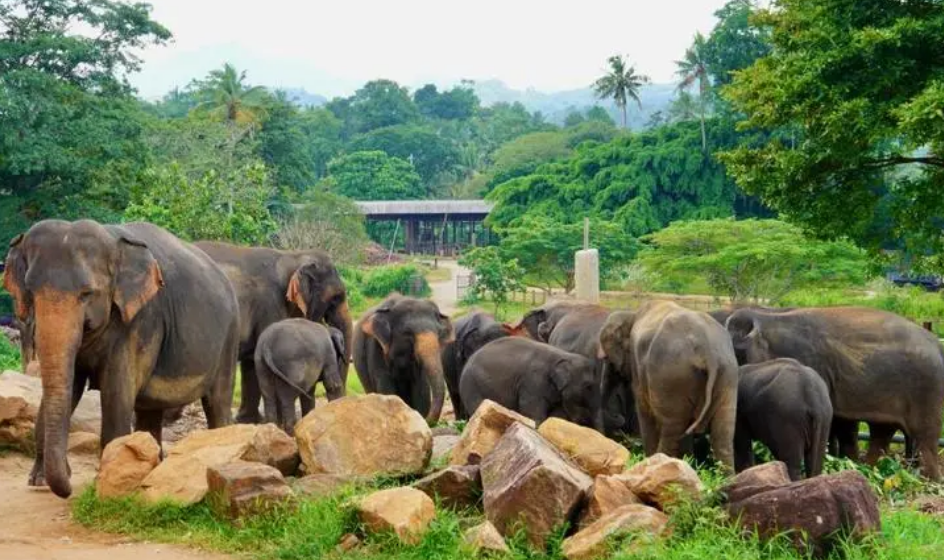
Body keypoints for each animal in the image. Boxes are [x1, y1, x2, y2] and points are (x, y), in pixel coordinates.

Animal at [3, 220, 239, 498]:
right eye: (30, 291)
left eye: (87, 293)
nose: (70, 486)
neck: (112, 238)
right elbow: (70, 387)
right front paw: (38, 482)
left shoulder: (140, 320)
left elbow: (116, 391)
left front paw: (106, 485)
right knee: (150, 411)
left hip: (229, 339)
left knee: (218, 402)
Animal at [459, 337, 599, 426]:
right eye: (588, 386)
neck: (564, 355)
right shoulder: (533, 380)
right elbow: (530, 409)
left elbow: (557, 413)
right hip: (472, 386)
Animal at [598, 300, 739, 470]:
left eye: (608, 359)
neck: (632, 314)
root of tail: (708, 351)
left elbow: (644, 411)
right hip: (728, 376)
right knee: (722, 434)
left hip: (671, 376)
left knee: (672, 428)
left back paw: (659, 461)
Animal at [726, 306, 944, 480]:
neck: (764, 320)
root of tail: (937, 343)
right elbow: (843, 425)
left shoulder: (808, 361)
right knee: (882, 431)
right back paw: (868, 470)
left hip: (927, 387)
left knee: (924, 436)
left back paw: (929, 481)